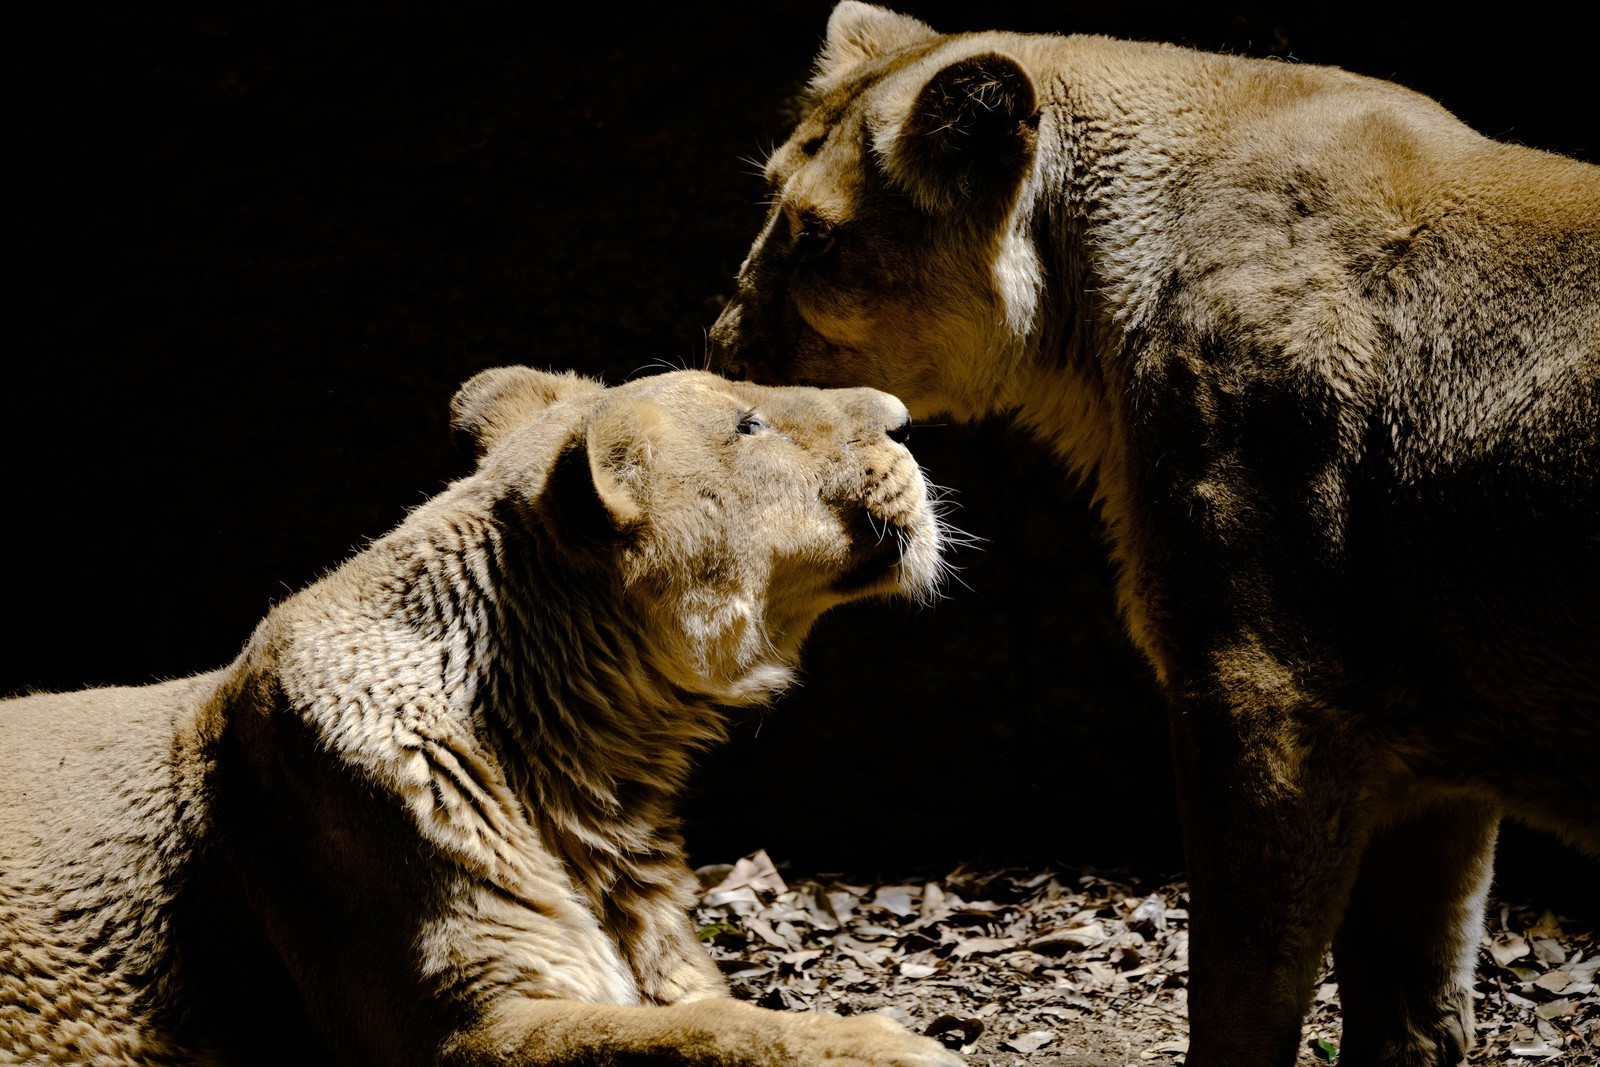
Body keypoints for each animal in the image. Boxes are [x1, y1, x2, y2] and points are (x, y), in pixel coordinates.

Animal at [3, 363, 960, 1062]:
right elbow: (701, 1035)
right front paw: (882, 1047)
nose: (906, 417)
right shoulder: (461, 1028)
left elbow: (702, 1013)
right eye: (749, 426)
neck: (597, 768)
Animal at [710, 4, 1600, 1062]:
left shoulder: (1262, 689)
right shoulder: (1433, 744)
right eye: (767, 200)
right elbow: (1413, 1003)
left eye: (815, 241)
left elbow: (1238, 990)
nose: (721, 347)